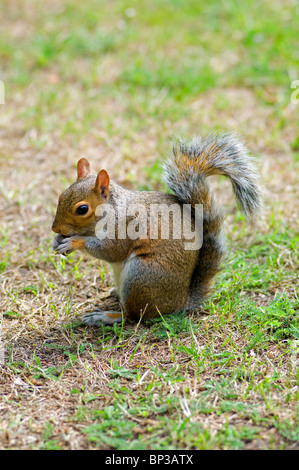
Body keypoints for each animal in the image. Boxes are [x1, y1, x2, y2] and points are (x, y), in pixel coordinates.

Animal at [52, 130, 264, 324]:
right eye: (61, 195)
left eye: (82, 209)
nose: (55, 228)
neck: (111, 210)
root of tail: (179, 302)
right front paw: (57, 241)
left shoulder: (126, 226)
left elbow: (112, 251)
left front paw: (73, 242)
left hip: (141, 276)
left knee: (134, 315)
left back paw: (107, 317)